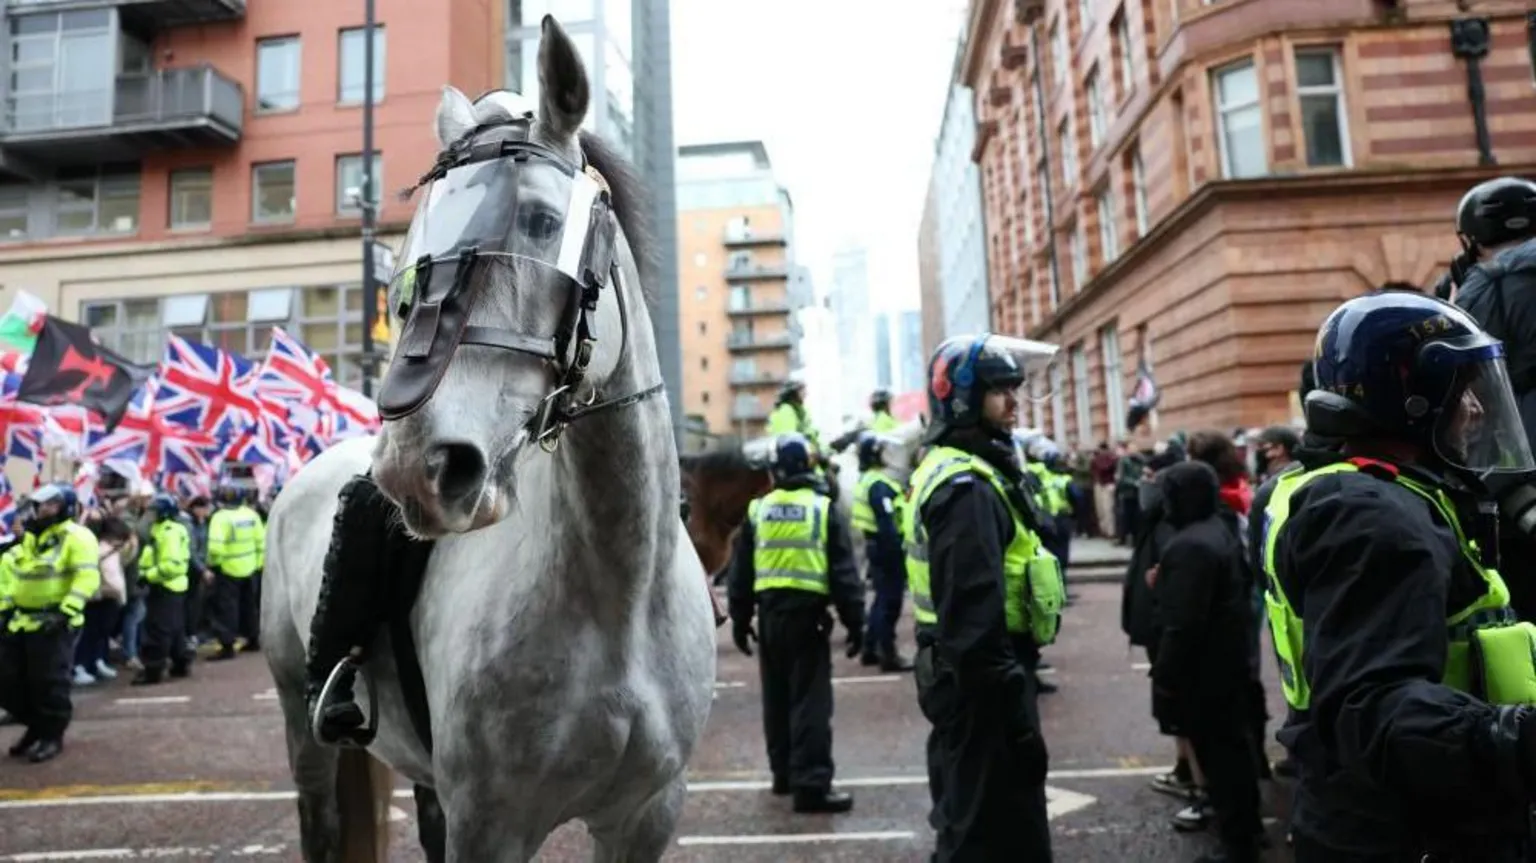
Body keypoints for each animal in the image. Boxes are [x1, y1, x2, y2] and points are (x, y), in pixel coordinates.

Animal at [261, 17, 716, 863]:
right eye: (415, 241)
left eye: (540, 220)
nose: (418, 467)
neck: (619, 599)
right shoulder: (493, 822)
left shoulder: (645, 814)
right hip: (299, 720)